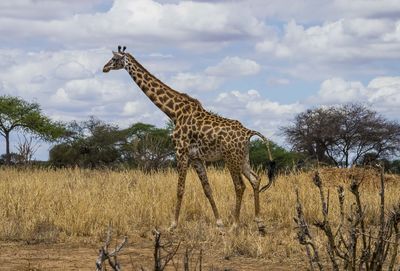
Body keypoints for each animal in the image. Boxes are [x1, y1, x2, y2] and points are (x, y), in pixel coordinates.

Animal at [102, 46, 276, 234]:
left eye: (114, 59)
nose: (104, 68)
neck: (174, 112)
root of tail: (248, 132)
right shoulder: (196, 157)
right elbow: (207, 189)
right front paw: (219, 223)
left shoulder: (181, 152)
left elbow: (180, 189)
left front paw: (173, 224)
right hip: (243, 158)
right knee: (255, 179)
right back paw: (259, 223)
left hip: (231, 158)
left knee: (240, 186)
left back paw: (235, 225)